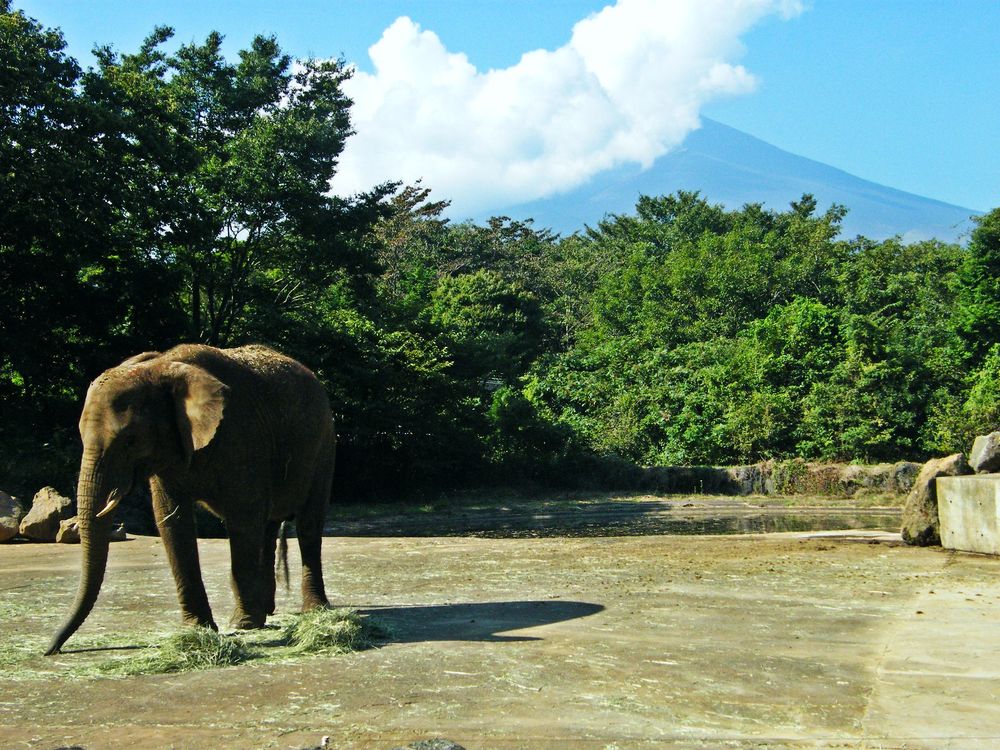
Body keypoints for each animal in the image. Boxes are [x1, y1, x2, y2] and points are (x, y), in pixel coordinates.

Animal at [45, 344, 336, 655]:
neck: (159, 367)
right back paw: (268, 611)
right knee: (268, 528)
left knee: (307, 525)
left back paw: (313, 610)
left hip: (323, 446)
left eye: (130, 439)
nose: (52, 649)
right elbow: (173, 522)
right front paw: (196, 628)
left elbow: (243, 520)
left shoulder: (241, 436)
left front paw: (242, 625)